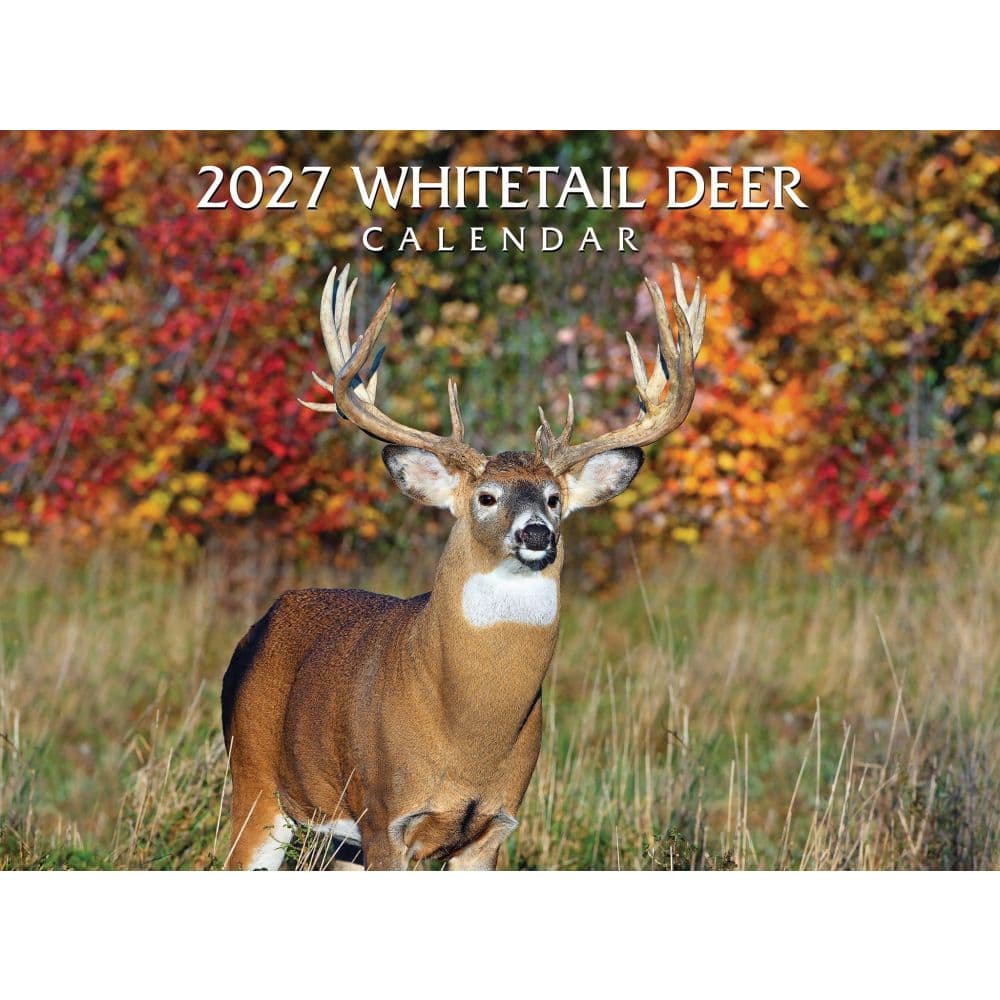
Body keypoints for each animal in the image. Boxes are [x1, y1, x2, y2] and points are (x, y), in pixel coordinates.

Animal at [221, 262, 706, 870]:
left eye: (553, 499)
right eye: (487, 497)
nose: (537, 533)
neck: (469, 731)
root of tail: (260, 623)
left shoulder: (493, 826)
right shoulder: (386, 816)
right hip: (256, 777)